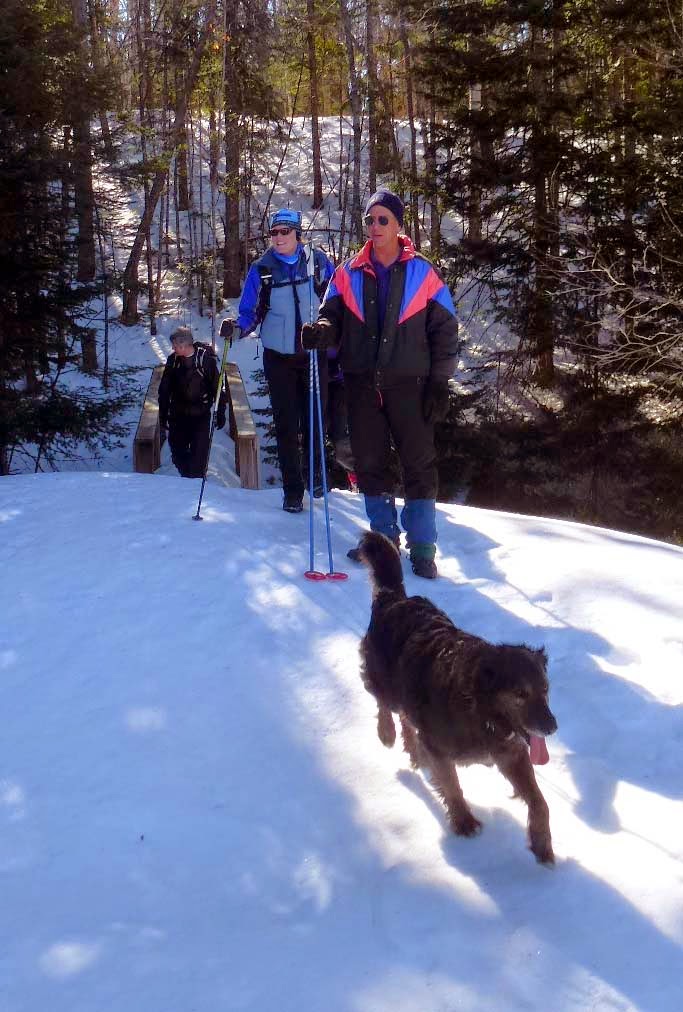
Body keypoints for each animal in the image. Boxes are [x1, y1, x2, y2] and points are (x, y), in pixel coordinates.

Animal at [357, 532, 557, 864]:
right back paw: (386, 733)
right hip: (385, 678)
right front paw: (464, 821)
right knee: (384, 702)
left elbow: (540, 802)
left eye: (546, 690)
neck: (479, 707)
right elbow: (452, 786)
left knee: (406, 718)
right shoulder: (439, 748)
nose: (552, 728)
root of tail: (394, 597)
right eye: (520, 694)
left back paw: (413, 750)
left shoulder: (511, 753)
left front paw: (542, 842)